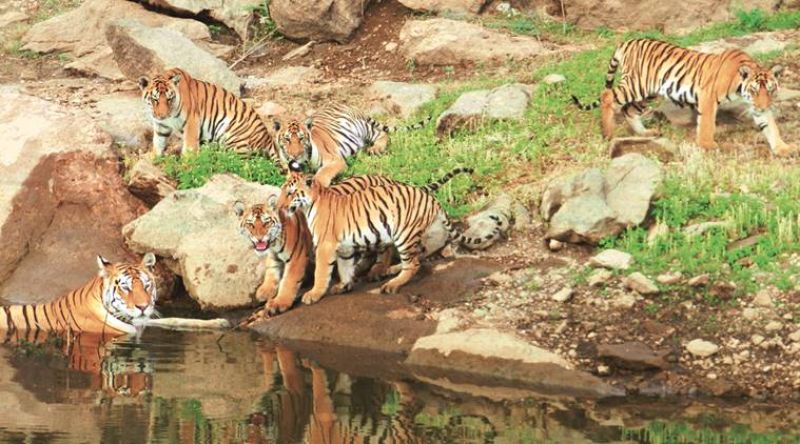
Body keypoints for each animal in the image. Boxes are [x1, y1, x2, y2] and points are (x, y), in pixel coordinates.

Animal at [138, 67, 278, 160]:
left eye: (169, 99)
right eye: (155, 99)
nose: (162, 115)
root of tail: (268, 138)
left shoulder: (191, 121)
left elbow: (189, 147)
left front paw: (187, 163)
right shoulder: (161, 125)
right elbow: (158, 142)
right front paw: (153, 157)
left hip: (232, 136)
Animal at [272, 103, 432, 187]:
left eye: (301, 138)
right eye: (287, 139)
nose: (295, 155)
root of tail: (347, 105)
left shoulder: (335, 160)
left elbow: (323, 173)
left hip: (364, 128)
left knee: (383, 134)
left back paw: (375, 149)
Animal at [277, 164, 499, 304]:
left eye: (290, 193)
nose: (279, 206)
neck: (310, 204)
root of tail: (432, 199)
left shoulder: (325, 245)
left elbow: (321, 272)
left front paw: (313, 294)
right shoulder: (344, 248)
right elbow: (345, 267)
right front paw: (344, 286)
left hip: (404, 234)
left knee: (414, 264)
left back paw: (391, 285)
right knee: (419, 255)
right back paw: (390, 271)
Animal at [571, 38, 797, 156]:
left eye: (770, 90)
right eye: (754, 91)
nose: (762, 105)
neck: (740, 87)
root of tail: (629, 41)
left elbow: (771, 127)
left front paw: (783, 148)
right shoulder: (708, 96)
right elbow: (706, 124)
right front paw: (707, 145)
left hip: (648, 93)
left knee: (628, 110)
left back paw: (644, 132)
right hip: (636, 85)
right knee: (607, 95)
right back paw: (608, 133)